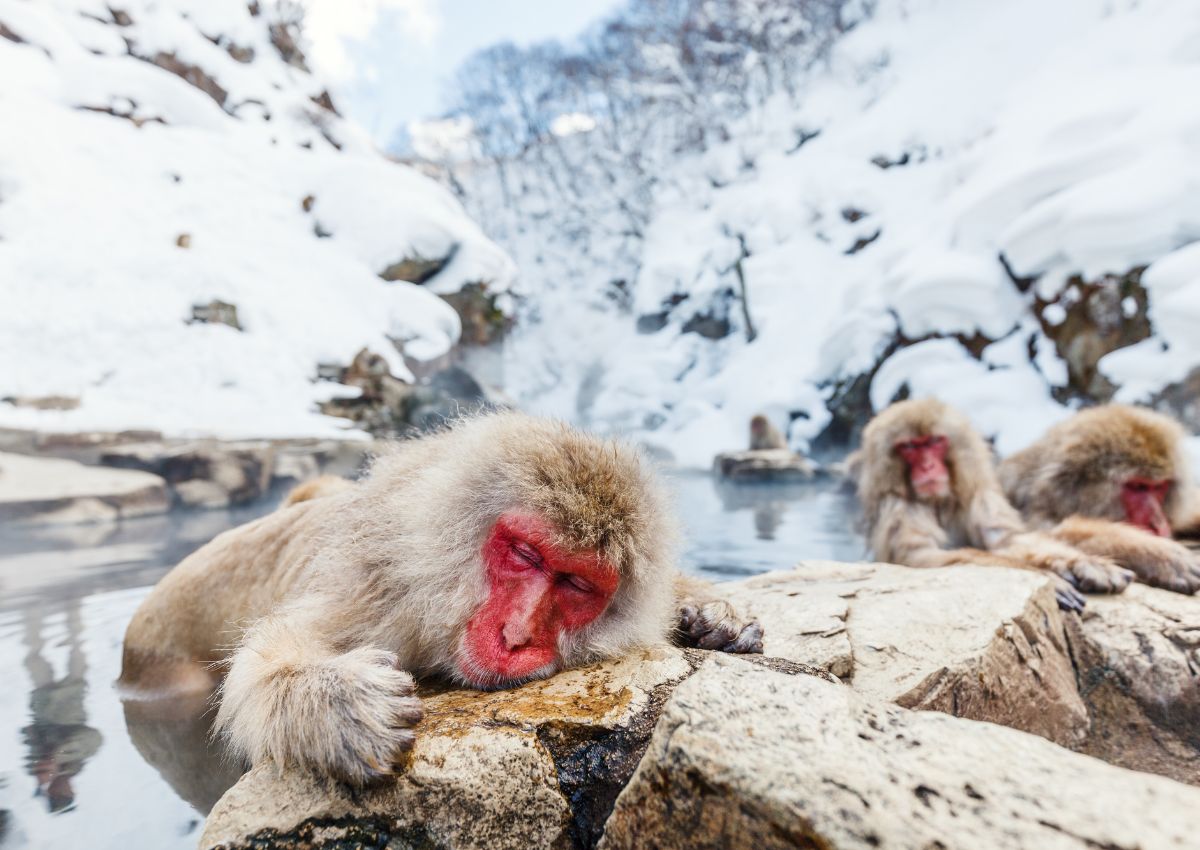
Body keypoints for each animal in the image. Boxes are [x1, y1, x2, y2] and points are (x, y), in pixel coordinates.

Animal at [118, 411, 763, 785]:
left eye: (577, 584)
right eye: (525, 555)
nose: (517, 634)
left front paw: (715, 614)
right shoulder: (379, 594)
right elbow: (268, 658)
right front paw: (335, 702)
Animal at [852, 399, 1133, 611]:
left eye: (934, 442)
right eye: (909, 447)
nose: (928, 466)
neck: (938, 501)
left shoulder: (980, 495)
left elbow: (1006, 540)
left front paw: (1082, 563)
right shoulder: (898, 508)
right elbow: (919, 556)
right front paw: (1046, 577)